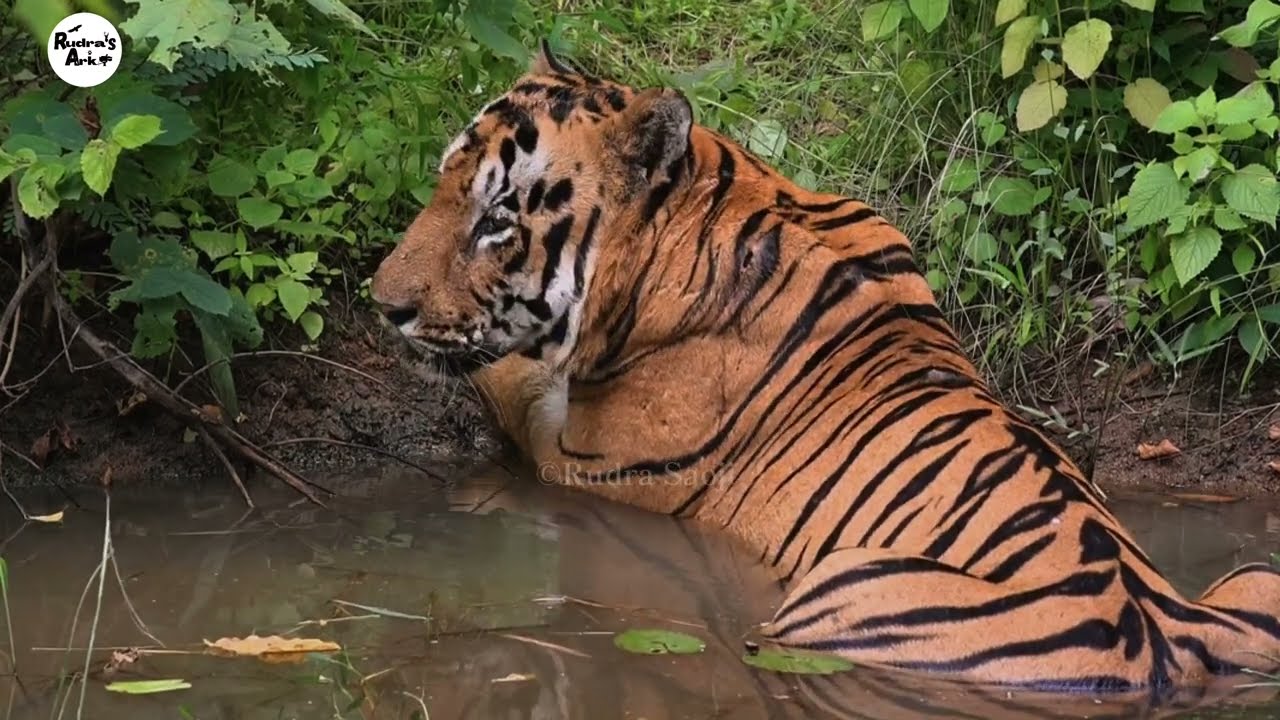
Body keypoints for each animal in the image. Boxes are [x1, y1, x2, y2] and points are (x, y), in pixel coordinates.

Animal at [369, 41, 1280, 692]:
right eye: (443, 182)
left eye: (497, 218)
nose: (383, 305)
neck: (720, 198)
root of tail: (1167, 649)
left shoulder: (583, 462)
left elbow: (508, 382)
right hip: (1257, 580)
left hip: (837, 589)